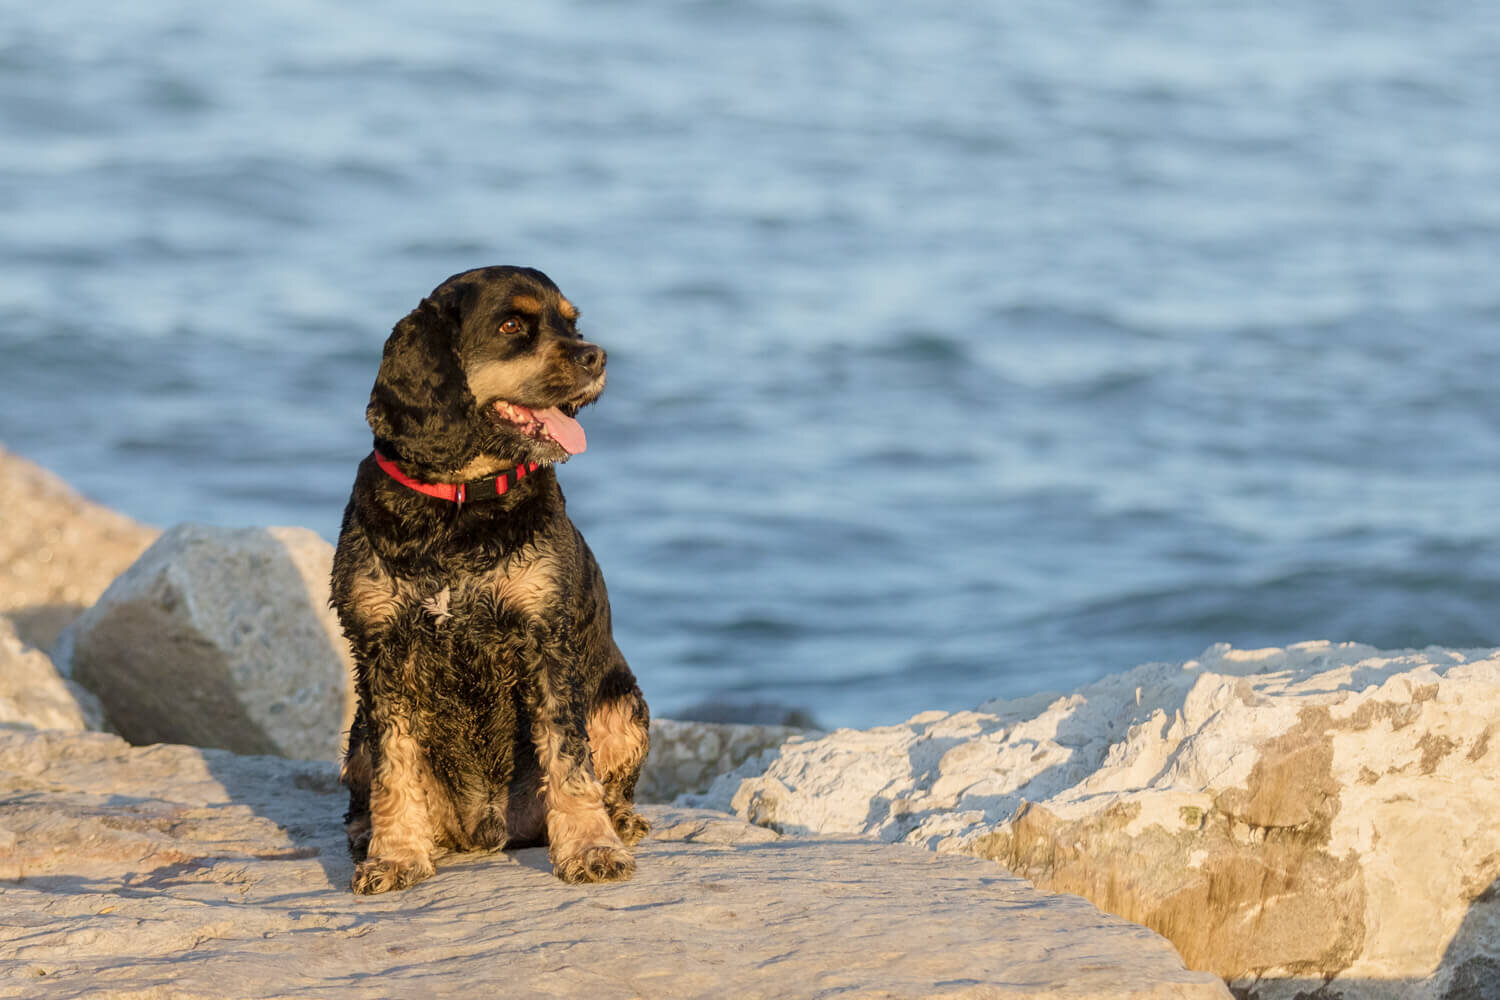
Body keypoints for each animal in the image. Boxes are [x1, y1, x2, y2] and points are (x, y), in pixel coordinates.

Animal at [331, 263, 648, 893]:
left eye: (571, 322)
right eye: (511, 325)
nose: (597, 356)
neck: (458, 506)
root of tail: (484, 830)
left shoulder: (546, 638)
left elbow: (569, 757)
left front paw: (592, 847)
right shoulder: (381, 648)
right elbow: (393, 765)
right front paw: (394, 855)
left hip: (620, 705)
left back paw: (620, 818)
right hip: (354, 732)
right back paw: (364, 834)